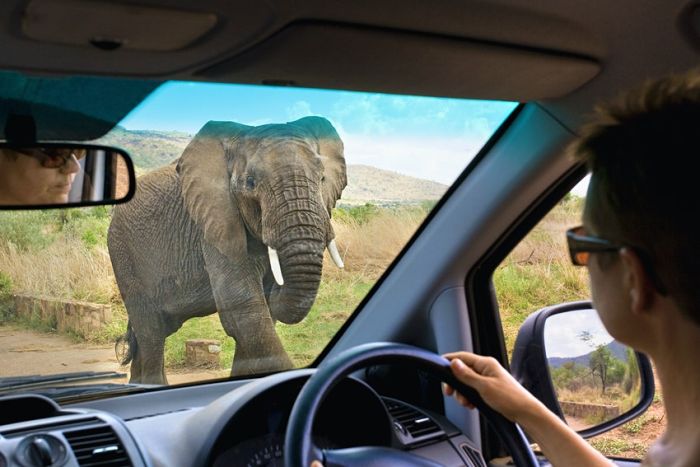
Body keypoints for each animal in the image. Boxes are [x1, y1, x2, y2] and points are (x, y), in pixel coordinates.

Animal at [107, 116, 347, 384]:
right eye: (250, 183)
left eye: (323, 179)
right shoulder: (214, 222)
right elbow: (244, 307)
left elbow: (260, 316)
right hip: (123, 252)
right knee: (152, 332)